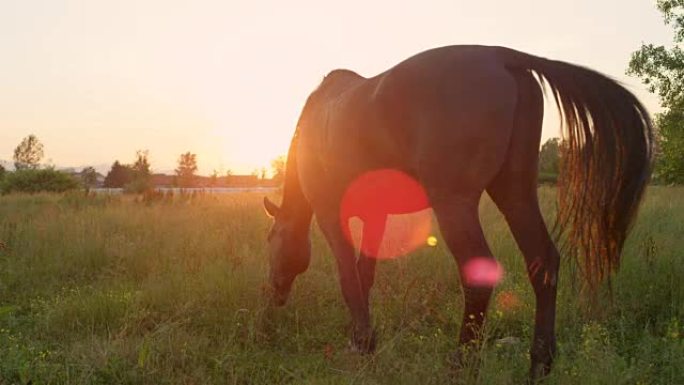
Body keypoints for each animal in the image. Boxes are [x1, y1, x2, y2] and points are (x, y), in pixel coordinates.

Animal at [262, 45, 652, 378]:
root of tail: (500, 56)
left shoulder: (330, 214)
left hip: (455, 205)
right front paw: (364, 339)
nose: (274, 294)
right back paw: (539, 364)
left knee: (478, 275)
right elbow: (363, 275)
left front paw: (361, 344)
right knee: (543, 263)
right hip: (516, 194)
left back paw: (462, 362)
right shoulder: (376, 218)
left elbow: (348, 278)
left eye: (272, 239)